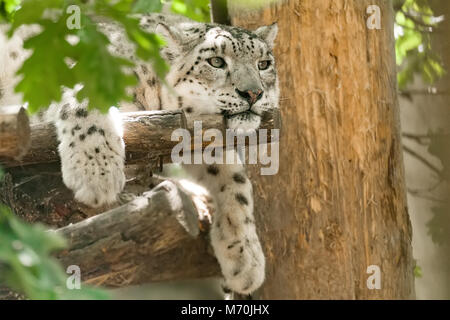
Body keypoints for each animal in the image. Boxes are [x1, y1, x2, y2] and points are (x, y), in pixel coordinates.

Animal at [0, 14, 280, 296]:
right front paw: (97, 176)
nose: (253, 93)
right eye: (216, 61)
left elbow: (235, 180)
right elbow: (88, 106)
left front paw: (246, 258)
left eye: (264, 64)